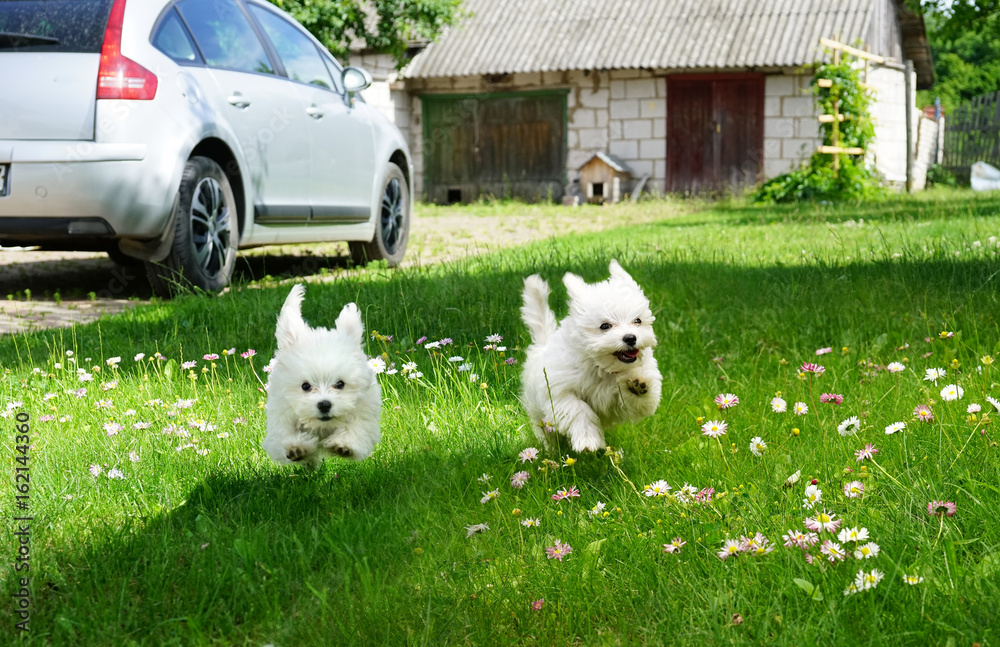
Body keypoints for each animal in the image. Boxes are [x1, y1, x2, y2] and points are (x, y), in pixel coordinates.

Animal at [260, 284, 380, 466]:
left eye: (340, 384)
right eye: (305, 386)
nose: (324, 404)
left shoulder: (365, 408)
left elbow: (358, 427)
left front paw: (345, 444)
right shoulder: (281, 411)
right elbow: (284, 432)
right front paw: (296, 448)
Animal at [520, 260, 660, 454]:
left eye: (638, 320)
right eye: (605, 326)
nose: (631, 338)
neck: (602, 367)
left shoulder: (623, 403)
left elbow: (641, 402)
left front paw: (637, 384)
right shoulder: (559, 392)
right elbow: (579, 409)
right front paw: (588, 441)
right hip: (537, 412)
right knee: (544, 430)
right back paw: (551, 449)